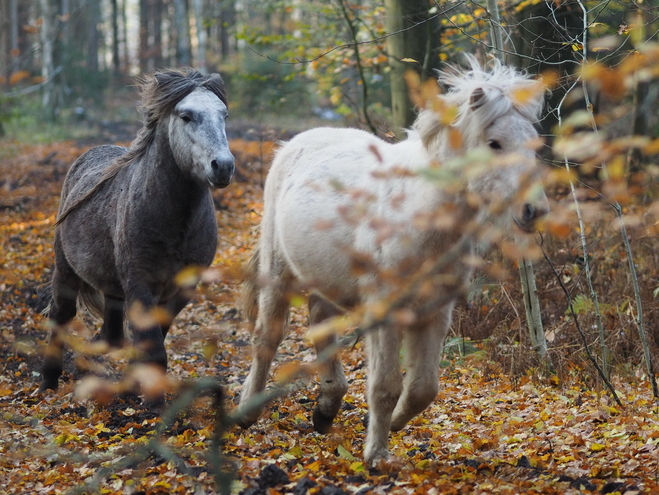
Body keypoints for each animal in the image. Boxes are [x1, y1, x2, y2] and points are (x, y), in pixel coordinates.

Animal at [39, 68, 235, 394]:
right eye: (186, 116)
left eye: (224, 115)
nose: (223, 166)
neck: (175, 226)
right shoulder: (141, 286)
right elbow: (154, 351)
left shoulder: (181, 291)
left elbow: (150, 345)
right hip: (65, 272)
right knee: (61, 317)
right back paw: (47, 385)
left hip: (112, 287)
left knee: (111, 333)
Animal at [240, 58, 548, 464]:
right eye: (494, 143)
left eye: (533, 143)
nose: (534, 210)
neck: (419, 215)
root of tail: (294, 144)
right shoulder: (385, 309)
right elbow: (385, 386)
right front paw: (376, 456)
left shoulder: (435, 310)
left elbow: (422, 389)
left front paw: (389, 425)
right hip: (277, 272)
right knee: (267, 336)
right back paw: (247, 411)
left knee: (320, 322)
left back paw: (325, 410)